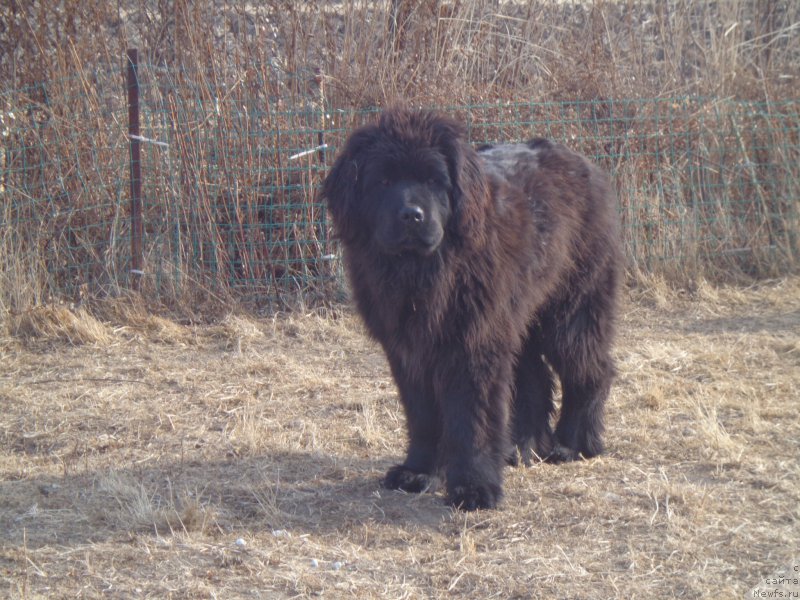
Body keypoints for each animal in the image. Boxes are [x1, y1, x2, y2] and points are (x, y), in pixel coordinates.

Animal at [322, 109, 620, 510]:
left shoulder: (474, 342)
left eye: (435, 181)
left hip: (571, 309)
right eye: (383, 180)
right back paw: (522, 447)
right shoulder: (410, 350)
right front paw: (418, 471)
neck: (423, 272)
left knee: (591, 368)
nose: (412, 215)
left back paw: (572, 444)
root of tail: (584, 163)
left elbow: (473, 417)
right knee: (534, 379)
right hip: (518, 315)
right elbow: (423, 416)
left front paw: (474, 487)